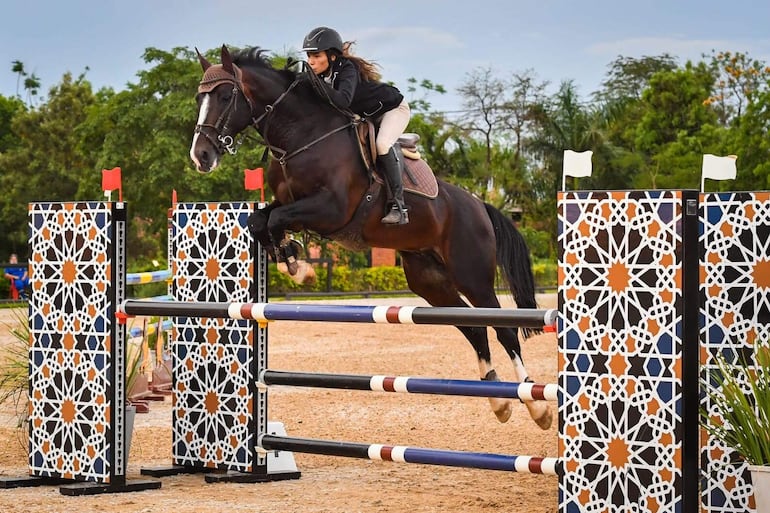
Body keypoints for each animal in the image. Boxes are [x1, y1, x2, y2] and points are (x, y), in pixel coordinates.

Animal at [192, 46, 552, 428]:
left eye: (226, 96)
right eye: (199, 97)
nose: (200, 156)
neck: (301, 136)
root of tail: (479, 205)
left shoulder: (330, 209)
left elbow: (275, 219)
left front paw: (299, 268)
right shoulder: (290, 203)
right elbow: (261, 220)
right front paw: (291, 259)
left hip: (473, 276)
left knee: (503, 328)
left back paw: (536, 404)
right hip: (430, 280)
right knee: (473, 327)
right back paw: (497, 400)